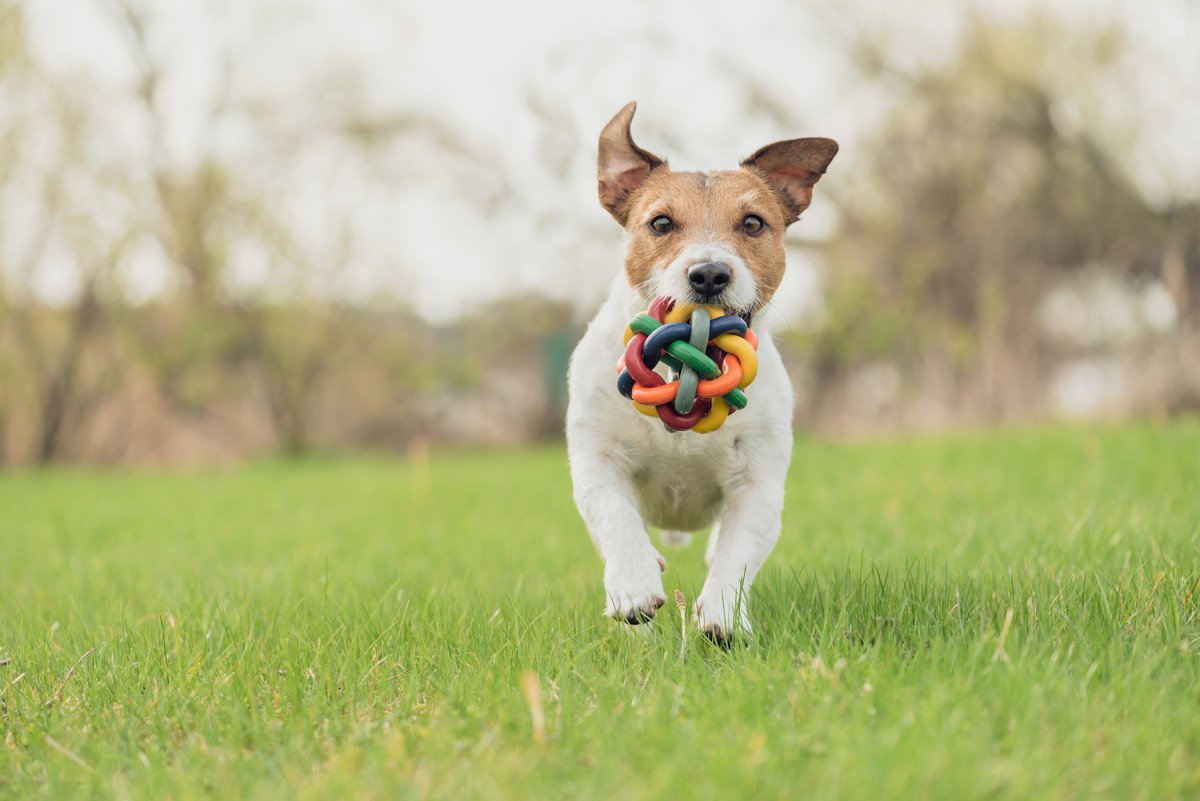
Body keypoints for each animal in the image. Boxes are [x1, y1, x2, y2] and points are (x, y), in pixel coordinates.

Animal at [568, 103, 835, 647]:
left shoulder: (757, 482)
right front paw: (633, 587)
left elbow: (737, 553)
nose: (710, 273)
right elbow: (615, 515)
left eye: (753, 223)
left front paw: (723, 616)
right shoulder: (596, 458)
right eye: (660, 222)